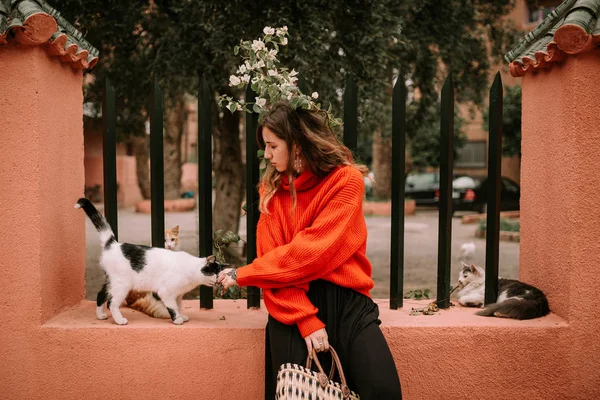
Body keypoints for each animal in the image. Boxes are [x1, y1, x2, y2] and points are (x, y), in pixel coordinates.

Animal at [75, 198, 220, 324]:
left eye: (220, 272)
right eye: (215, 272)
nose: (219, 280)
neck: (191, 270)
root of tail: (113, 244)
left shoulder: (178, 295)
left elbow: (179, 306)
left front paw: (182, 316)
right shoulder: (166, 292)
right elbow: (173, 308)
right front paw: (177, 319)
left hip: (111, 281)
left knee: (100, 295)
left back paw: (101, 315)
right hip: (122, 284)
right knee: (112, 302)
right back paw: (120, 320)